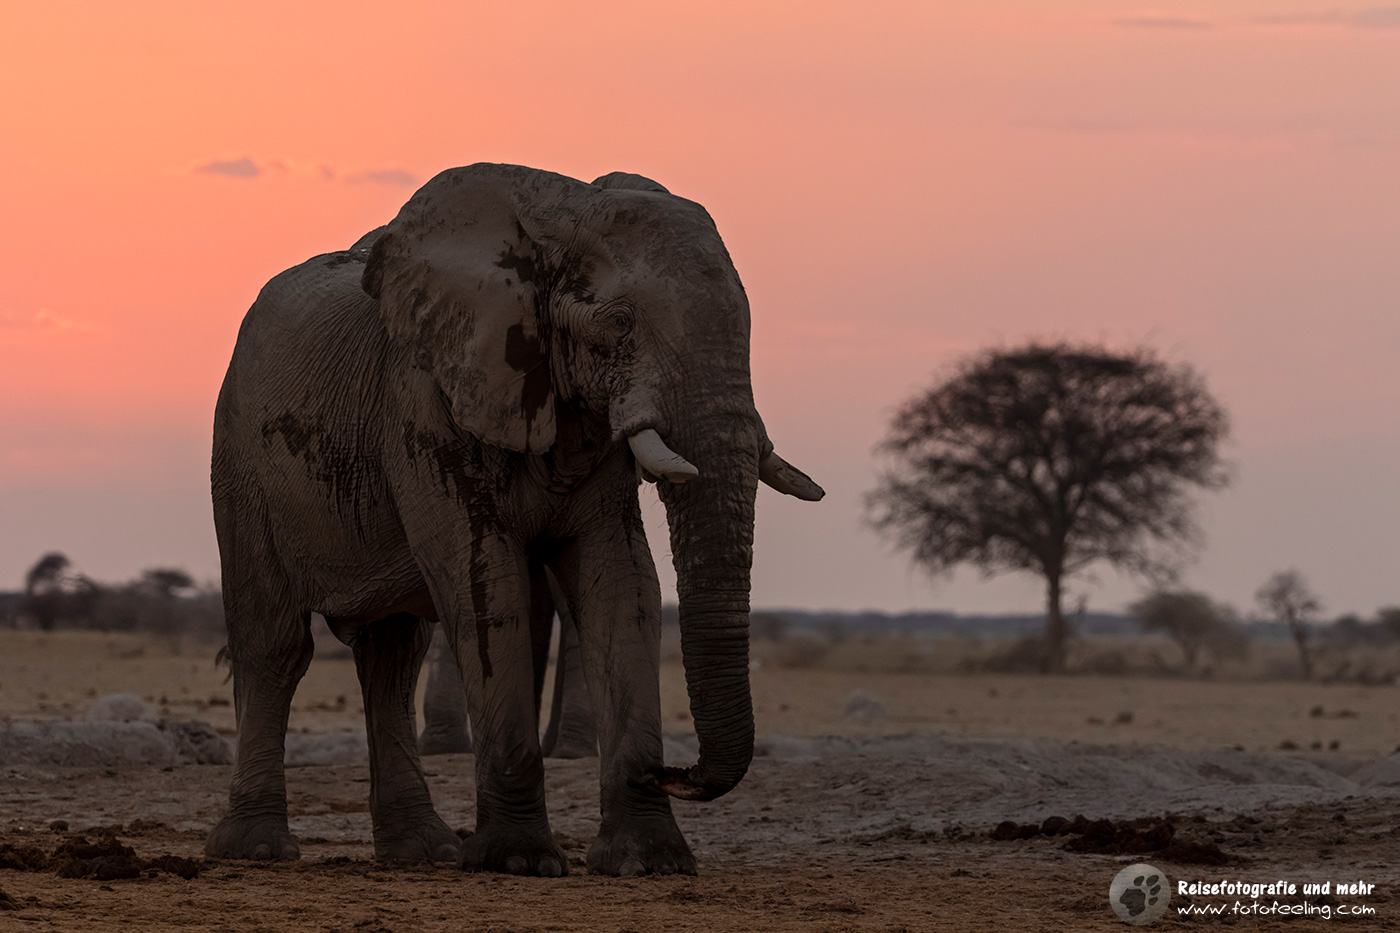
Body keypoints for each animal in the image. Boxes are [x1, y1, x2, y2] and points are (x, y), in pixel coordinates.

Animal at [206, 163, 823, 876]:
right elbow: (484, 583)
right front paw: (518, 862)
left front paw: (650, 861)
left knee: (392, 657)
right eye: (619, 321)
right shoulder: (428, 401)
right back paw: (258, 849)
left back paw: (425, 853)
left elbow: (623, 585)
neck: (563, 211)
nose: (675, 772)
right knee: (274, 642)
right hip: (240, 461)